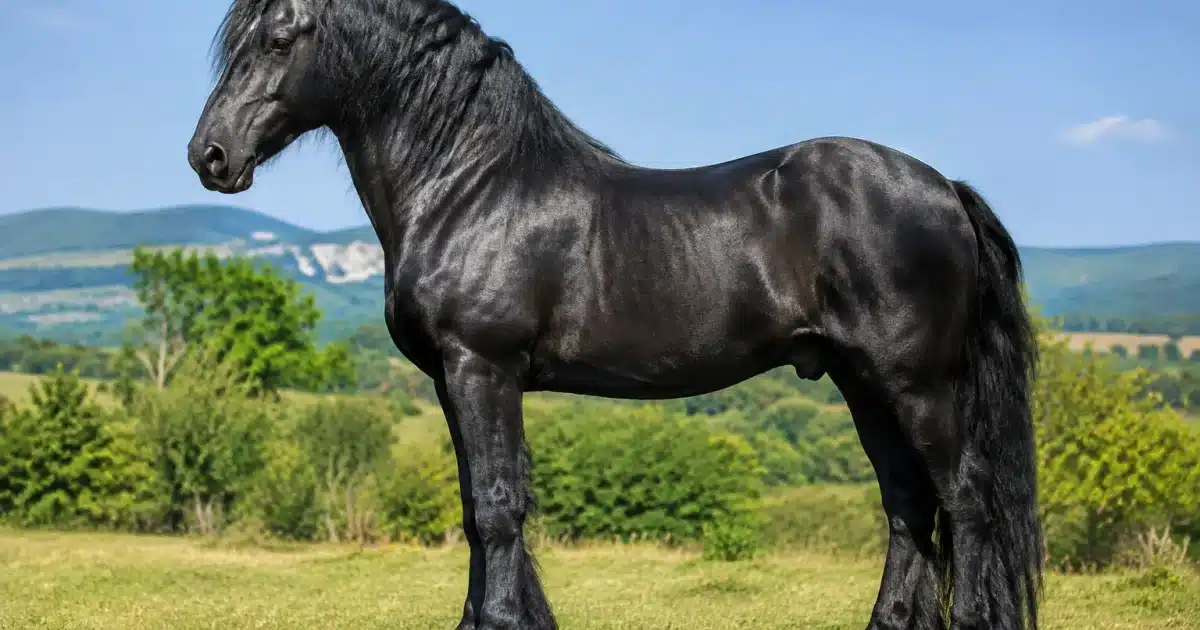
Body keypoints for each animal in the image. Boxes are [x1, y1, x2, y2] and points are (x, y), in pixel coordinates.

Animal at [187, 1, 1043, 628]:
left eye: (279, 38)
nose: (210, 157)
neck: (470, 184)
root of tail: (943, 188)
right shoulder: (450, 380)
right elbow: (473, 505)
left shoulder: (481, 367)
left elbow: (497, 505)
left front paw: (502, 620)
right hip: (862, 384)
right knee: (908, 505)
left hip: (917, 383)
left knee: (966, 500)